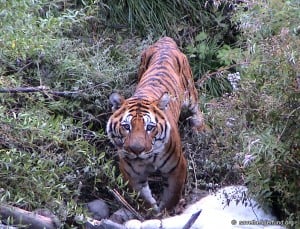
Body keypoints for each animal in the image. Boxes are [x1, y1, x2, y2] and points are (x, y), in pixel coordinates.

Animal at [106, 36, 205, 213]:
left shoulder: (177, 167)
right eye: (126, 127)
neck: (147, 159)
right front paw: (152, 211)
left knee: (197, 109)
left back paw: (199, 128)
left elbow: (173, 195)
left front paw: (167, 212)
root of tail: (165, 40)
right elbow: (143, 197)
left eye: (150, 127)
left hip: (190, 92)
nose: (137, 150)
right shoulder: (132, 174)